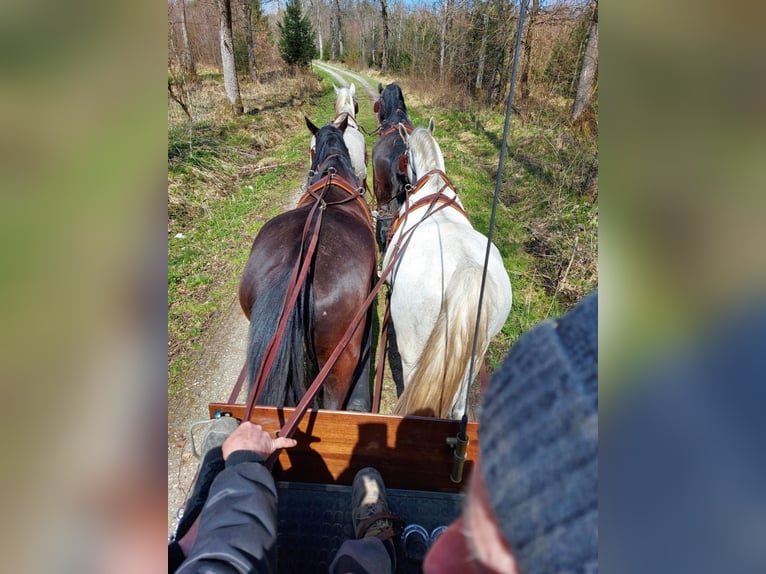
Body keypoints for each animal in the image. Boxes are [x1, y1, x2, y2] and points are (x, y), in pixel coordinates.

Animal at [384, 120, 516, 418]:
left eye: (405, 154)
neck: (433, 184)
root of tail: (466, 269)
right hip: (474, 359)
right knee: (459, 406)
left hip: (412, 353)